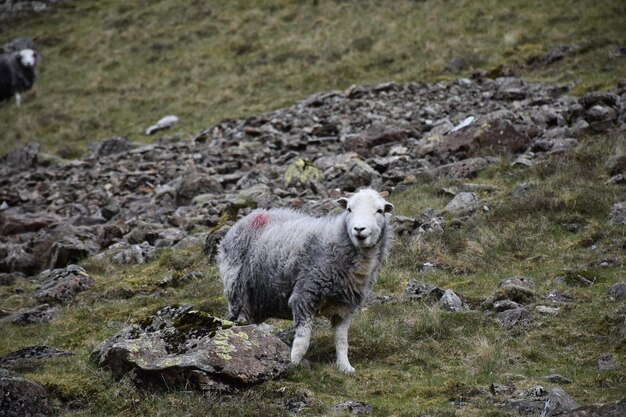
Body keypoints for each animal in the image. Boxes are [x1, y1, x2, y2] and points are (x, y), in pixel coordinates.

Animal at [214, 187, 390, 372]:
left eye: (380, 211)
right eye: (349, 209)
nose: (359, 229)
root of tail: (249, 217)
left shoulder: (345, 308)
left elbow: (342, 341)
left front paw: (345, 367)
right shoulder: (305, 296)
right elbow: (302, 342)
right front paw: (292, 364)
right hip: (237, 292)